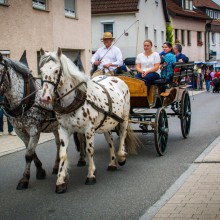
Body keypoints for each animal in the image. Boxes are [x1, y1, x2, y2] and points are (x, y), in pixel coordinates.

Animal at [38, 47, 137, 192]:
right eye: (41, 71)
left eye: (56, 70)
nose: (45, 98)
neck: (72, 100)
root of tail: (115, 78)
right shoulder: (63, 129)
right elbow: (62, 154)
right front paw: (60, 181)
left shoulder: (88, 129)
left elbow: (90, 151)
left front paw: (91, 175)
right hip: (106, 123)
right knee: (110, 142)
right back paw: (112, 163)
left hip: (123, 118)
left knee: (123, 134)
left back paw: (121, 156)